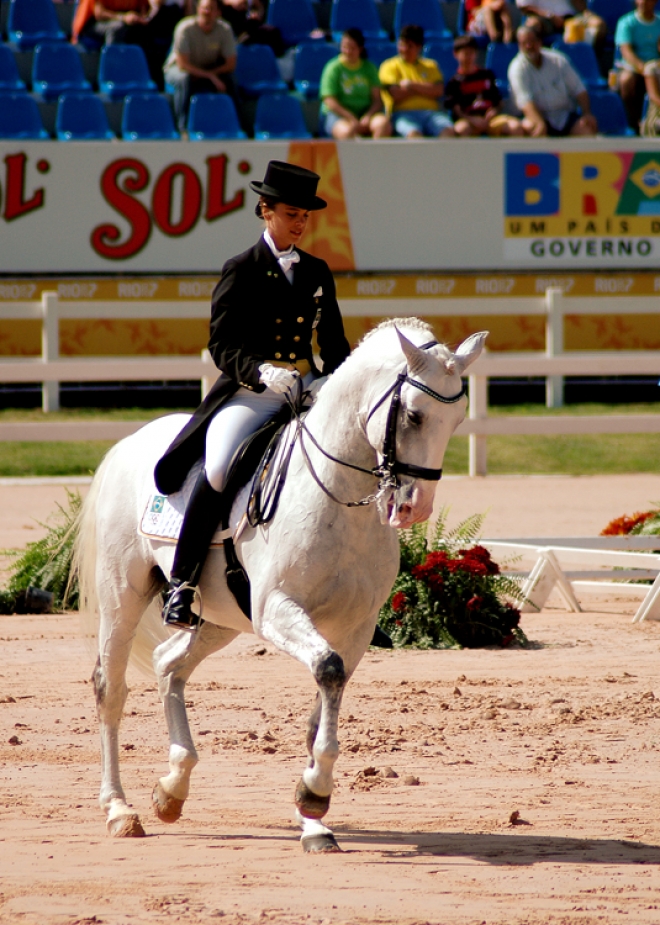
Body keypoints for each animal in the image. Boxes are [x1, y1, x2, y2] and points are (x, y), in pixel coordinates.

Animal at [76, 320, 484, 852]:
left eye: (457, 420)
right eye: (414, 415)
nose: (415, 507)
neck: (337, 496)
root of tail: (130, 443)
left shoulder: (355, 627)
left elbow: (323, 701)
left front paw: (313, 815)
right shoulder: (277, 610)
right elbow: (327, 670)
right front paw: (314, 795)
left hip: (220, 617)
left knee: (169, 664)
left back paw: (172, 789)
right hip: (122, 595)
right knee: (111, 688)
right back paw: (119, 809)